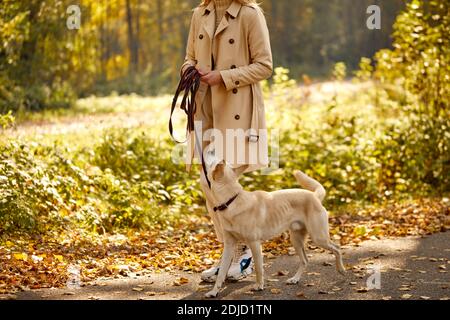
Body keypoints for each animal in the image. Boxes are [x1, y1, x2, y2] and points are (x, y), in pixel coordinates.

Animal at [204, 161, 344, 298]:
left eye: (212, 166)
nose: (206, 163)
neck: (231, 200)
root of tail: (314, 196)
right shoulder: (229, 246)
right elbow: (221, 272)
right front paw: (214, 291)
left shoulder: (254, 244)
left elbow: (259, 269)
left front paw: (259, 286)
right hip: (296, 240)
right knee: (305, 260)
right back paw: (295, 279)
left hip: (318, 237)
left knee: (337, 248)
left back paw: (341, 269)